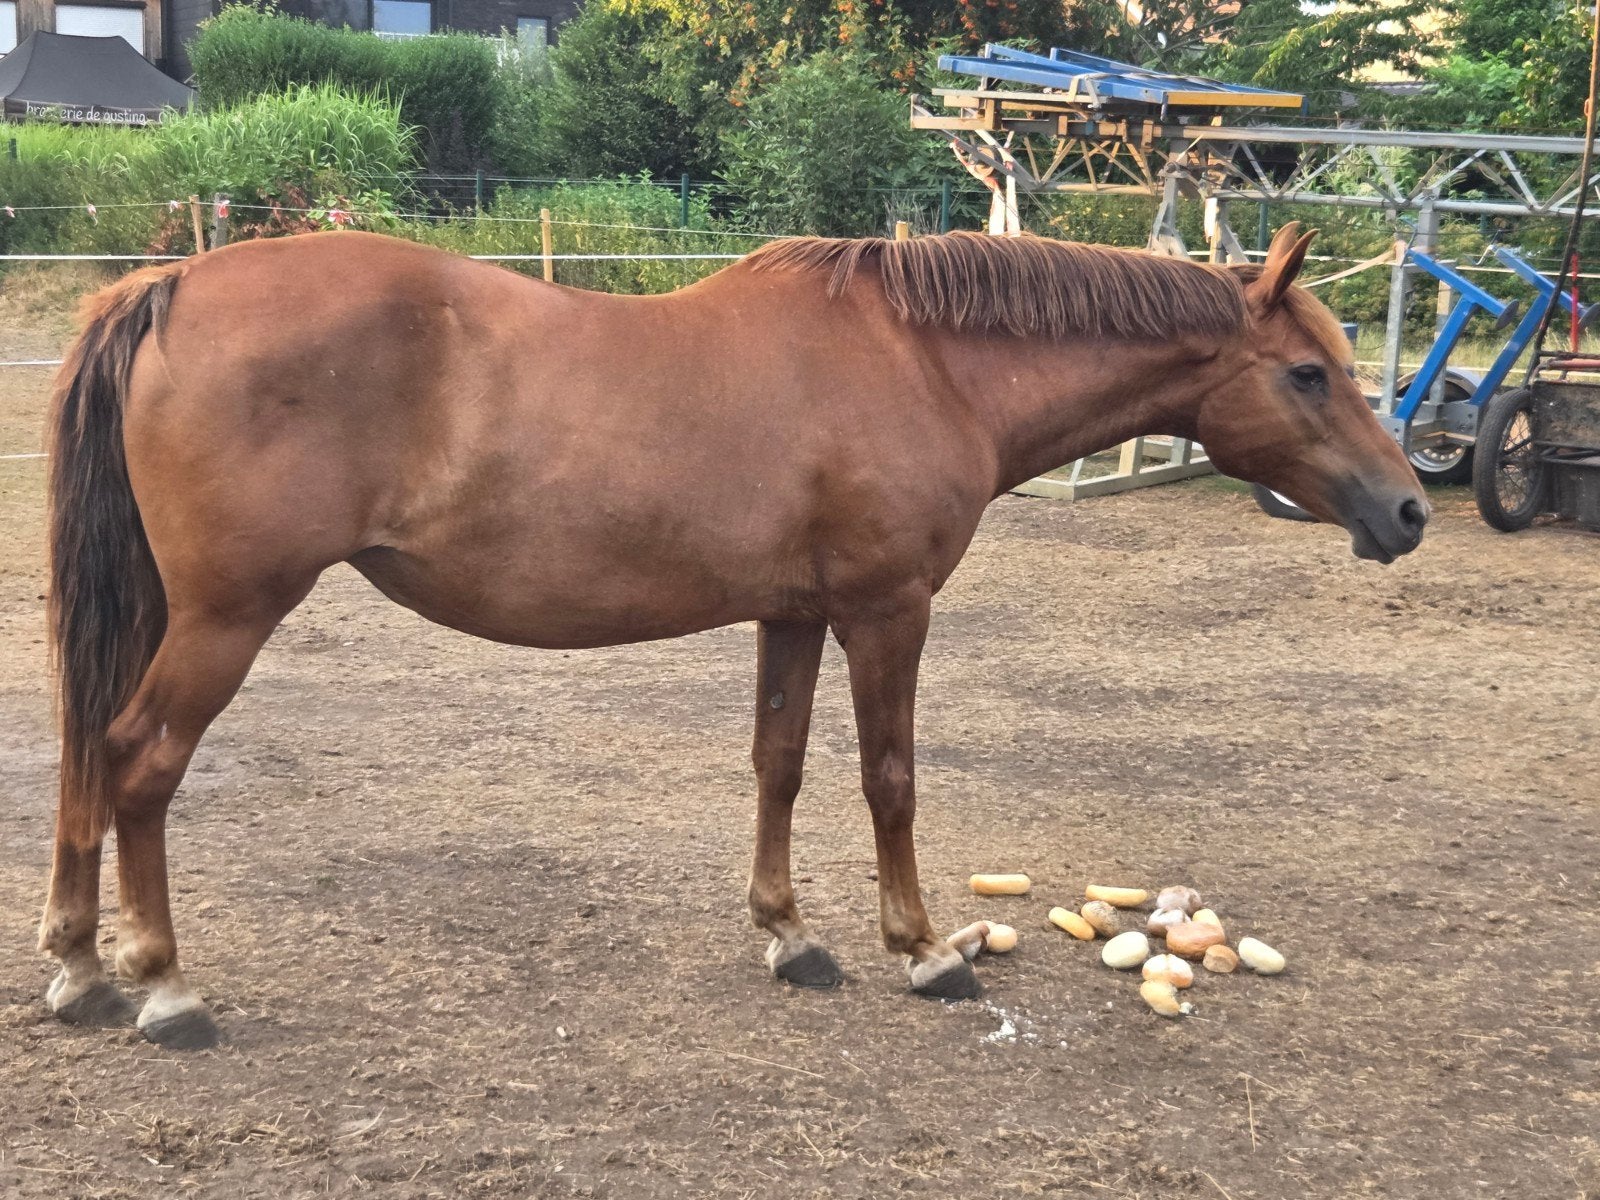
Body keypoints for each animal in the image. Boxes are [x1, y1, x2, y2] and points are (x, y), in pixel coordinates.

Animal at [37, 222, 1426, 1048]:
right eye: (1307, 373)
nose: (1407, 508)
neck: (925, 362)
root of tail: (168, 284)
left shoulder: (794, 613)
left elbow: (779, 765)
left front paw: (792, 936)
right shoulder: (886, 612)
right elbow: (888, 779)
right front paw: (922, 952)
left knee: (84, 759)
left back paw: (81, 967)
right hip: (226, 618)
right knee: (139, 761)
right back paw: (163, 985)